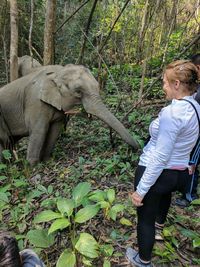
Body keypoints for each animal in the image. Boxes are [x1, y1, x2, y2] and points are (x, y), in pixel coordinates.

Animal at [0, 65, 139, 165]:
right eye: (78, 91)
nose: (137, 148)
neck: (58, 72)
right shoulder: (35, 102)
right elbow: (39, 130)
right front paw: (32, 167)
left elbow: (55, 129)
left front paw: (46, 161)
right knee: (5, 140)